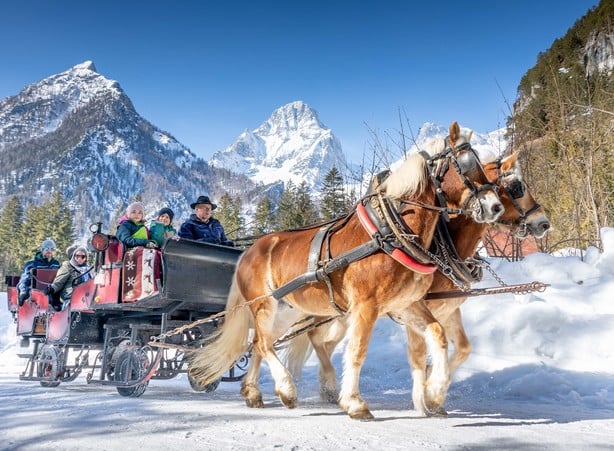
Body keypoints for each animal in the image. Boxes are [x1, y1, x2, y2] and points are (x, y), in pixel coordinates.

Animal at [191, 121, 506, 420]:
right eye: (467, 163)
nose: (496, 207)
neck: (392, 231)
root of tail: (249, 251)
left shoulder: (406, 304)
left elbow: (437, 335)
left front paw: (435, 393)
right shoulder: (367, 305)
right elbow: (358, 351)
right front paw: (355, 403)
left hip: (288, 309)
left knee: (259, 342)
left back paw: (254, 392)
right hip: (264, 305)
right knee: (266, 344)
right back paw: (287, 388)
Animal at [282, 148, 552, 416]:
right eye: (517, 186)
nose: (544, 223)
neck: (441, 246)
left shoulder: (447, 309)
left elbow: (462, 347)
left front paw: (433, 387)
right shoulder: (414, 308)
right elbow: (418, 354)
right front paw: (426, 397)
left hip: (341, 314)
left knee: (324, 342)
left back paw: (328, 387)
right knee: (316, 337)